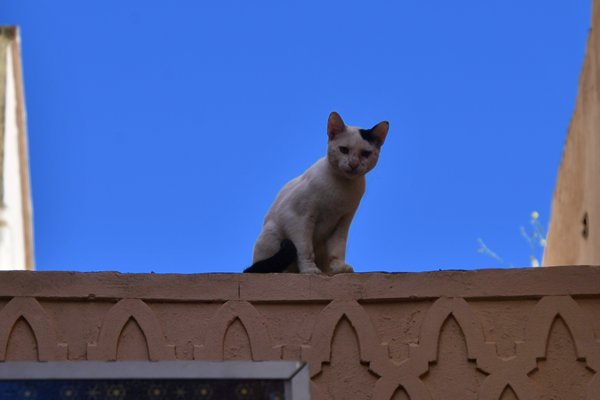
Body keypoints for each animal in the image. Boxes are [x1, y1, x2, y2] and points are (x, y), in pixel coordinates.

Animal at [244, 112, 390, 276]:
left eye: (365, 153)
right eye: (344, 150)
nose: (353, 164)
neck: (341, 190)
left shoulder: (343, 222)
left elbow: (337, 249)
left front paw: (339, 267)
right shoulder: (299, 218)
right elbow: (305, 249)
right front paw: (309, 270)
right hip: (272, 234)